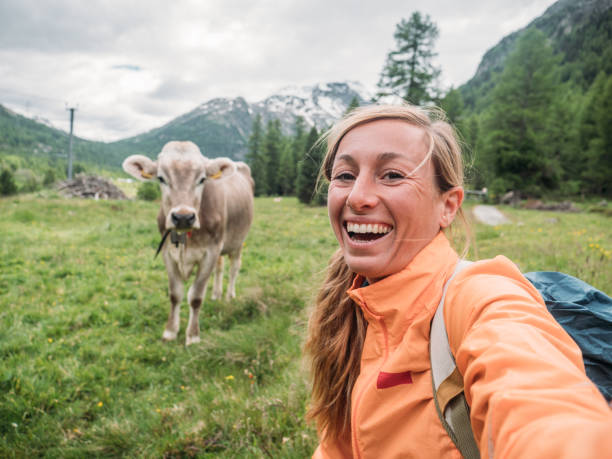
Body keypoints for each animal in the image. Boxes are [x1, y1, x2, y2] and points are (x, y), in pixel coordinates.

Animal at [122, 140, 253, 344]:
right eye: (161, 178)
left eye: (202, 179)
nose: (183, 217)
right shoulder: (168, 253)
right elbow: (175, 294)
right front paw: (170, 331)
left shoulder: (211, 251)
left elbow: (196, 296)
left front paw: (192, 335)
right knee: (220, 268)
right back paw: (216, 294)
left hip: (238, 241)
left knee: (234, 268)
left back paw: (229, 296)